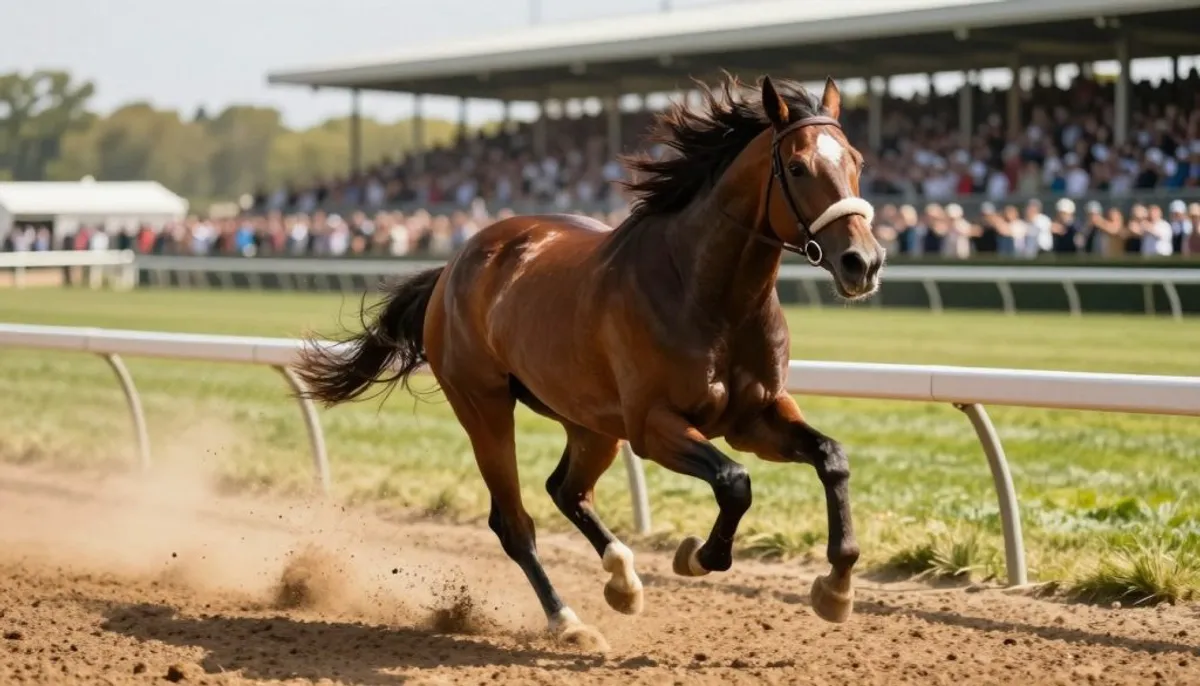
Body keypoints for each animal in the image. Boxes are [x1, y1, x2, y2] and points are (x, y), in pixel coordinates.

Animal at [295, 73, 885, 652]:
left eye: (857, 160)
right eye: (797, 166)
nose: (864, 262)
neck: (709, 295)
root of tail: (455, 264)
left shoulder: (753, 417)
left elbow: (831, 458)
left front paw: (836, 588)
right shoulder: (653, 426)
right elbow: (734, 482)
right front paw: (696, 555)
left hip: (591, 421)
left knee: (567, 489)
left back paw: (622, 580)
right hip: (485, 406)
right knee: (514, 522)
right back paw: (568, 621)